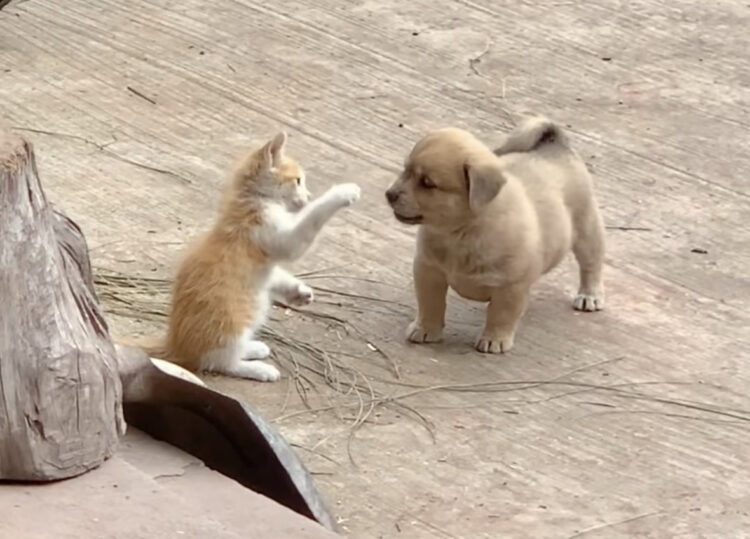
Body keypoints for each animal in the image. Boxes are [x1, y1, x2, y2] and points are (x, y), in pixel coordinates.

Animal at [139, 131, 360, 381]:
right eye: (298, 181)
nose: (309, 194)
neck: (253, 202)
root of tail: (175, 344)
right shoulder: (278, 238)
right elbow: (311, 220)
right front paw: (343, 192)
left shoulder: (269, 260)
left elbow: (277, 275)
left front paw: (299, 293)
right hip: (232, 321)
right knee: (220, 363)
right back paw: (258, 369)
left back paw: (253, 347)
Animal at [385, 115, 605, 354]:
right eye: (405, 170)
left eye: (427, 183)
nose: (389, 194)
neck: (460, 233)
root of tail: (554, 142)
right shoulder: (429, 271)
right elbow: (430, 305)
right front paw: (425, 329)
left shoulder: (510, 286)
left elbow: (501, 316)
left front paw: (494, 340)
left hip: (587, 230)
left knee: (591, 265)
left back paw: (589, 295)